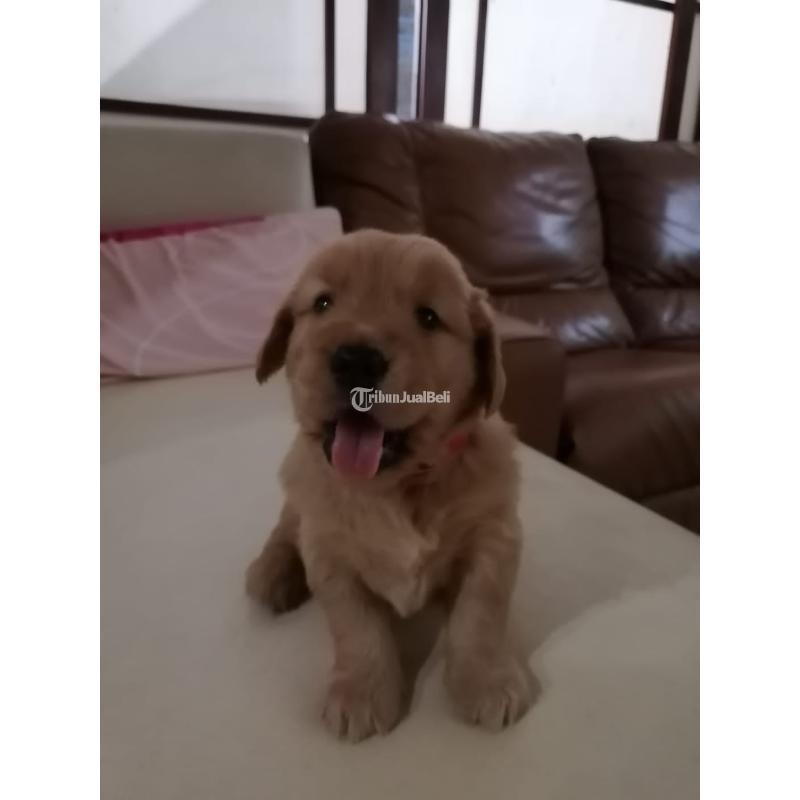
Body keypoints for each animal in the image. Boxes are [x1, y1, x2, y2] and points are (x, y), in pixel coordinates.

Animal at [246, 230, 534, 741]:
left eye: (428, 316)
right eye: (322, 302)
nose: (356, 360)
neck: (397, 487)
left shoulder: (495, 535)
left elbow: (481, 613)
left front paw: (486, 681)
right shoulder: (329, 551)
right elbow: (356, 628)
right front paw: (361, 694)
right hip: (298, 490)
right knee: (285, 527)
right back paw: (273, 573)